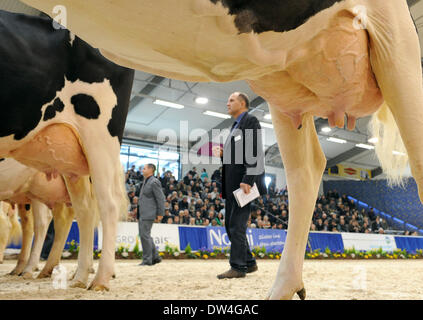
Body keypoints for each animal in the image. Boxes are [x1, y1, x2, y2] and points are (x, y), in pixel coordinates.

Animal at [0, 10, 134, 290]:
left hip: (99, 141)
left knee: (105, 207)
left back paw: (99, 278)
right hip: (71, 165)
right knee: (79, 214)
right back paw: (75, 275)